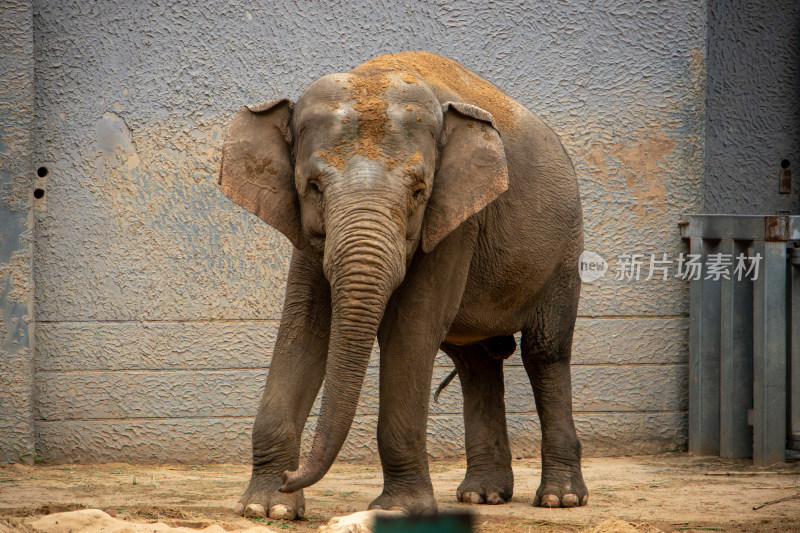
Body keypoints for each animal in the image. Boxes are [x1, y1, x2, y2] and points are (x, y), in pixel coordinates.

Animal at [219, 52, 588, 516]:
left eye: (418, 191)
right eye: (313, 188)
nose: (291, 478)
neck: (374, 74)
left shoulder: (456, 220)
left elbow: (410, 330)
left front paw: (397, 510)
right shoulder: (305, 229)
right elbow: (304, 327)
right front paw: (268, 508)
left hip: (564, 251)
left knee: (545, 351)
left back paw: (560, 499)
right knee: (477, 364)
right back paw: (482, 495)